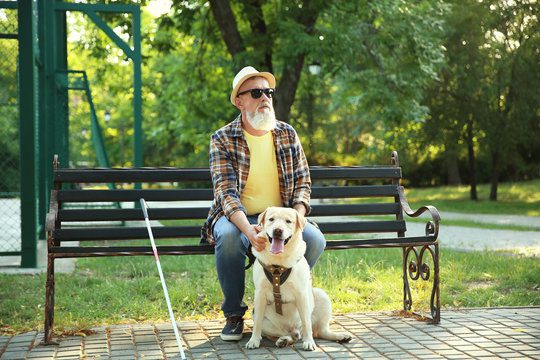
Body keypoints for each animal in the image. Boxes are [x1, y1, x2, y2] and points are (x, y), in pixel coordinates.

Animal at [247, 207, 352, 350]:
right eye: (271, 219)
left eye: (288, 221)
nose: (277, 230)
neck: (278, 262)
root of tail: (294, 330)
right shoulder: (260, 294)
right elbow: (257, 322)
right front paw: (254, 340)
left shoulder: (301, 293)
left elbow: (306, 322)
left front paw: (309, 342)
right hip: (264, 320)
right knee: (288, 335)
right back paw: (284, 340)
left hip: (321, 296)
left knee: (319, 331)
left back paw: (341, 336)